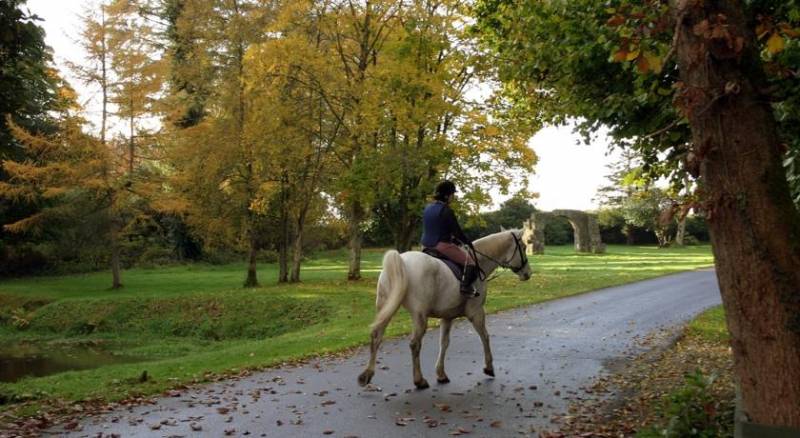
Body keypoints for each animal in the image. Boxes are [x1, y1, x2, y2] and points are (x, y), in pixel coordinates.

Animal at [356, 229, 532, 390]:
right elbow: (485, 337)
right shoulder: (476, 312)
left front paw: (441, 374)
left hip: (386, 308)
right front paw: (489, 367)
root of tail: (401, 259)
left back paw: (367, 375)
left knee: (376, 337)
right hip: (419, 316)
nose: (528, 273)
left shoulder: (447, 316)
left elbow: (444, 343)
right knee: (414, 344)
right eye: (523, 247)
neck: (479, 261)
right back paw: (419, 380)